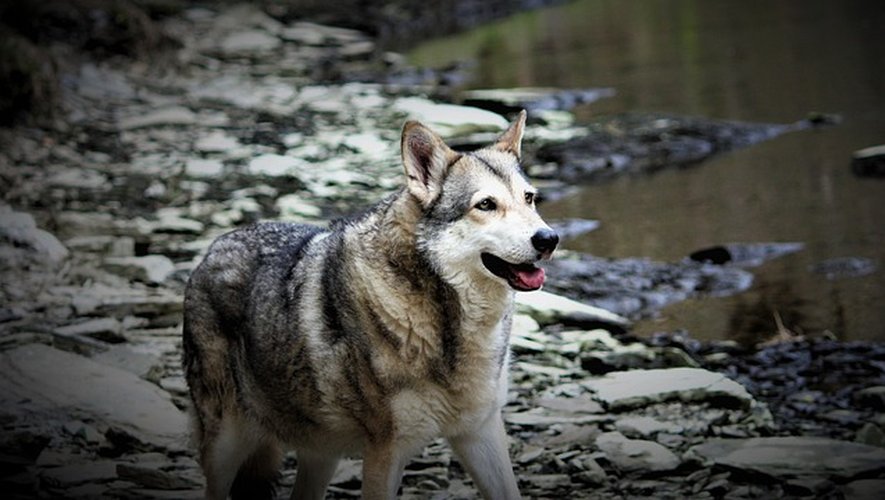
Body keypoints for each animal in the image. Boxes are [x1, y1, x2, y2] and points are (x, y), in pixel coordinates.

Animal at [183, 110, 559, 500]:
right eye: (486, 204)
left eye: (529, 198)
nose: (549, 239)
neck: (446, 323)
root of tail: (212, 249)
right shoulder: (386, 451)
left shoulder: (479, 432)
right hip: (227, 444)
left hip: (321, 454)